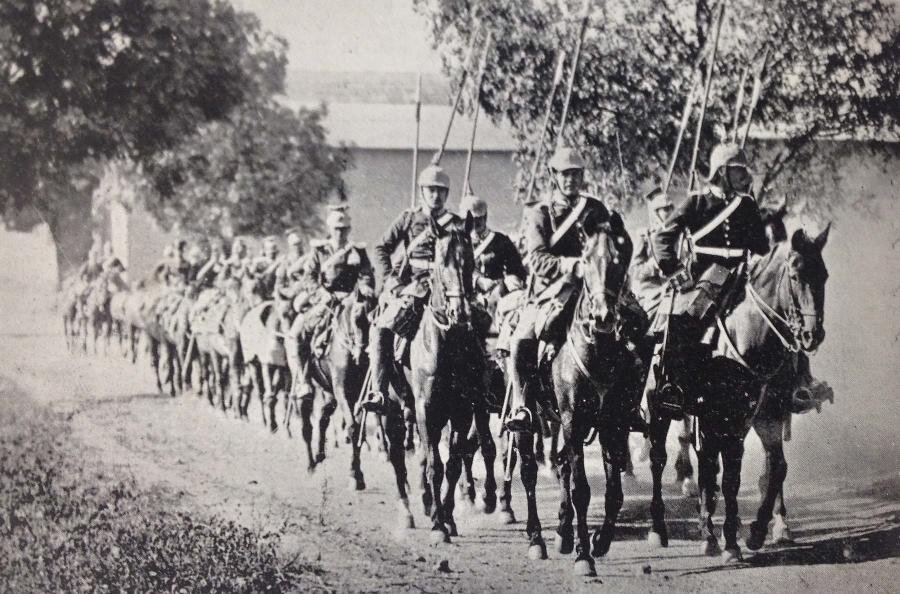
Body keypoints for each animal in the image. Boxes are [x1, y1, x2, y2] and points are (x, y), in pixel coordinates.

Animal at [648, 223, 828, 560]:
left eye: (823, 274)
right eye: (795, 275)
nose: (813, 335)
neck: (752, 337)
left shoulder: (760, 415)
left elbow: (769, 469)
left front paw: (750, 534)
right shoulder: (714, 417)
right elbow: (719, 471)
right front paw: (720, 535)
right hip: (659, 410)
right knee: (658, 459)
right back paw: (658, 528)